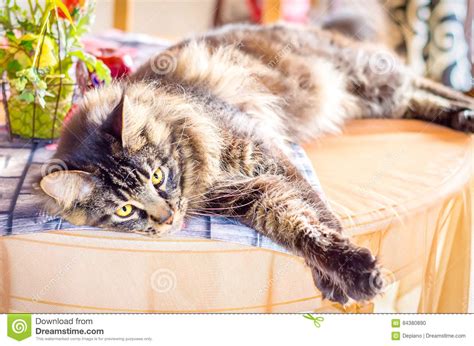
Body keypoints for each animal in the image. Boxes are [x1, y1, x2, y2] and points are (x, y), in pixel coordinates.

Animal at [38, 24, 474, 304]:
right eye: (125, 210)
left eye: (158, 176)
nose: (168, 218)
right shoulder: (252, 194)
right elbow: (298, 226)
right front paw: (333, 273)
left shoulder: (265, 155)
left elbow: (319, 212)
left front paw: (350, 271)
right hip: (374, 99)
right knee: (418, 97)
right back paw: (462, 116)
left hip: (370, 79)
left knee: (423, 83)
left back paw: (466, 109)